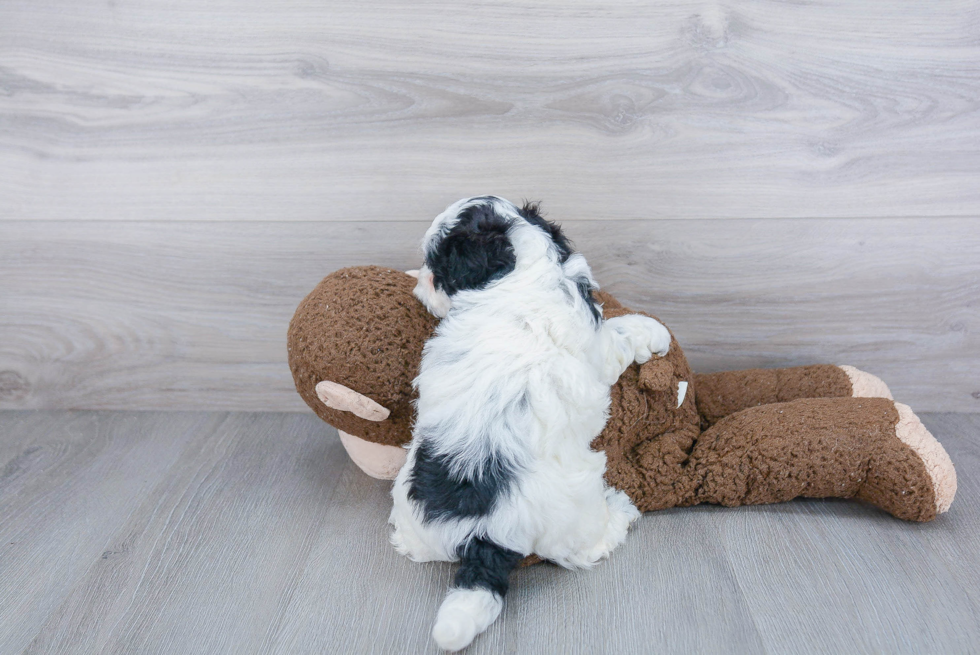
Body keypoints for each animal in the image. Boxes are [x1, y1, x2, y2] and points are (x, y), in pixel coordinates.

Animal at [390, 195, 672, 652]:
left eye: (437, 266)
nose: (421, 283)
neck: (518, 270)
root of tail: (483, 535)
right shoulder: (598, 346)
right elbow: (620, 333)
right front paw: (652, 330)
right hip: (574, 511)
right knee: (586, 547)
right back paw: (620, 510)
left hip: (412, 504)